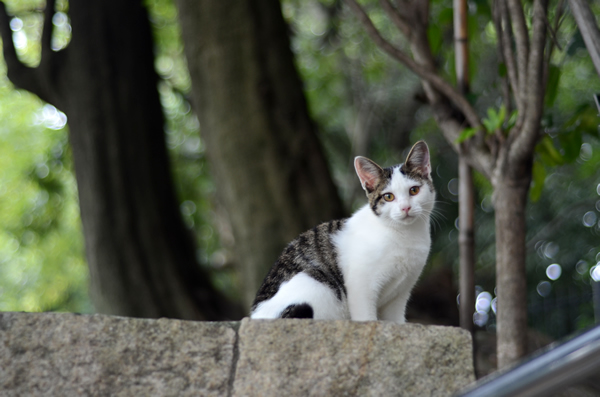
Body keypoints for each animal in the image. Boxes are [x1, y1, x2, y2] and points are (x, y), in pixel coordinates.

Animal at [250, 140, 436, 322]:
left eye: (414, 190)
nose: (405, 207)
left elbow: (395, 320)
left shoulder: (399, 295)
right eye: (388, 197)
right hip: (316, 280)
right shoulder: (361, 286)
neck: (406, 235)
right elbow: (366, 317)